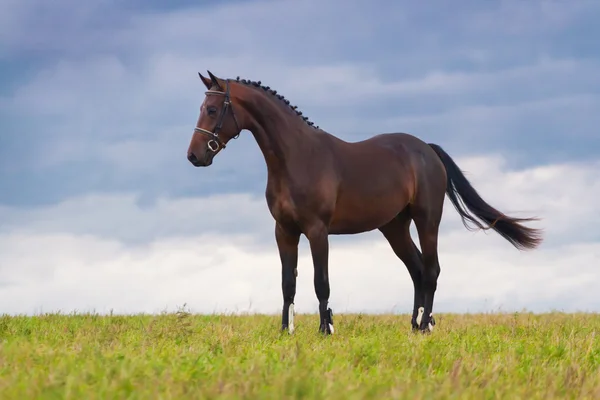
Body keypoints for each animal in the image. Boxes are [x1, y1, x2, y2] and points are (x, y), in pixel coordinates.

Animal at [185, 71, 540, 334]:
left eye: (213, 110)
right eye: (201, 108)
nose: (194, 156)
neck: (296, 157)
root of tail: (426, 149)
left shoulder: (317, 231)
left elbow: (321, 282)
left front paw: (325, 330)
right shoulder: (284, 231)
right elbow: (288, 283)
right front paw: (286, 332)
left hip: (427, 220)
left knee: (431, 269)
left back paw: (425, 326)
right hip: (394, 228)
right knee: (416, 269)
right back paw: (413, 326)